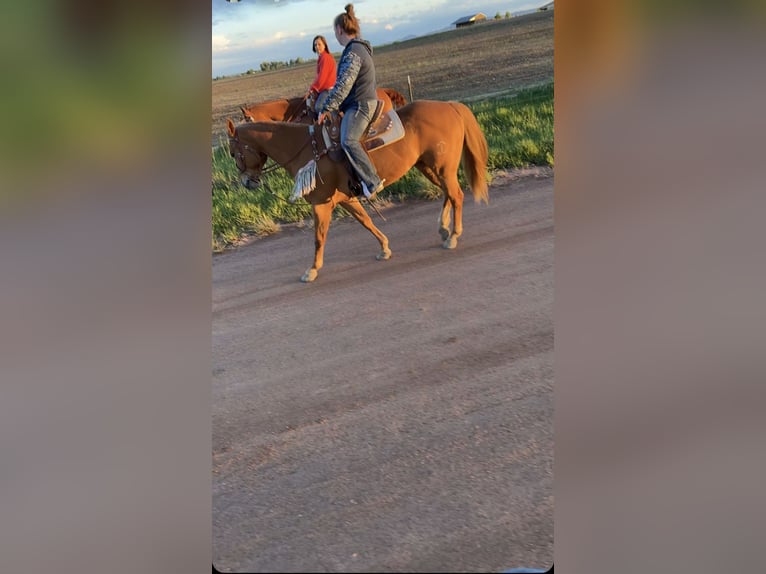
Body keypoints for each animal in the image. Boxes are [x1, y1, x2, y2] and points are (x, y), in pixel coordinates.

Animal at [228, 102, 492, 286]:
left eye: (233, 152)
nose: (247, 182)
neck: (307, 149)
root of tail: (450, 106)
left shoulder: (321, 202)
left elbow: (319, 237)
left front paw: (311, 270)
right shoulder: (345, 199)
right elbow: (365, 221)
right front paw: (384, 248)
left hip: (442, 167)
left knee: (456, 195)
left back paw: (453, 236)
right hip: (428, 167)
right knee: (448, 193)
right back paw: (443, 228)